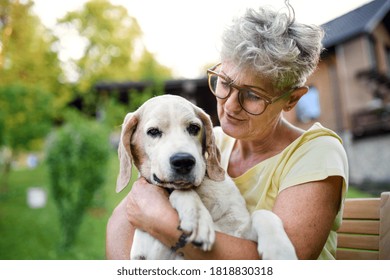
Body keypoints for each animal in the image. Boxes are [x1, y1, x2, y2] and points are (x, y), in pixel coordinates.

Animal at [115, 94, 296, 260]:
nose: (183, 161)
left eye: (194, 128)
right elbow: (183, 193)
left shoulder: (238, 229)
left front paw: (279, 250)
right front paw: (197, 218)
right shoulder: (151, 250)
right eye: (153, 132)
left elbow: (263, 214)